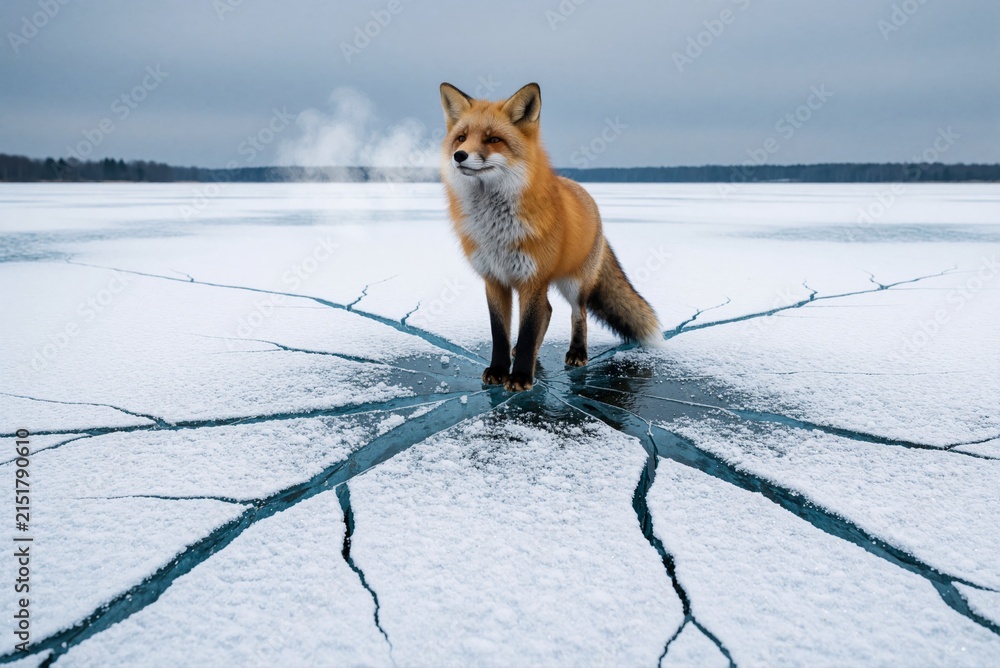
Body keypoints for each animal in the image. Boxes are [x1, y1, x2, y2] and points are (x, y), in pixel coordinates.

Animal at [439, 82, 661, 392]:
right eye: (461, 138)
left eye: (493, 139)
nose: (459, 155)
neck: (496, 230)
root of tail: (587, 195)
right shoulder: (494, 280)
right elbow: (501, 333)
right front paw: (499, 370)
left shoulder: (533, 279)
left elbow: (528, 330)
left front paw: (520, 377)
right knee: (548, 311)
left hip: (574, 284)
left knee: (577, 314)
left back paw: (577, 353)